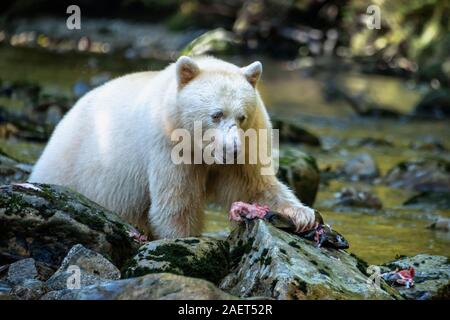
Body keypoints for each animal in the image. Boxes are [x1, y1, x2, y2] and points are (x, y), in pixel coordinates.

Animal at [29, 56, 316, 239]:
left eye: (242, 116)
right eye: (216, 115)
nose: (232, 149)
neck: (201, 149)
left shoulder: (248, 145)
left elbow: (254, 185)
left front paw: (303, 215)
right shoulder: (167, 145)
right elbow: (176, 204)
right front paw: (182, 238)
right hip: (73, 168)